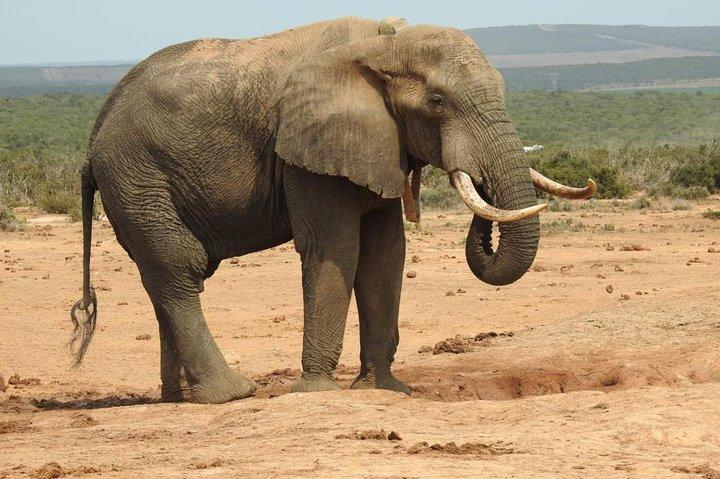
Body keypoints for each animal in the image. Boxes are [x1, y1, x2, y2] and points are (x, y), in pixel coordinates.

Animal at [70, 16, 595, 403]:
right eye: (436, 101)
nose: (479, 188)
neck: (384, 45)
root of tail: (93, 139)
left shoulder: (378, 143)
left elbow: (386, 253)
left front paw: (385, 390)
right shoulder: (308, 148)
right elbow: (337, 247)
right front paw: (318, 391)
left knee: (164, 276)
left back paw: (180, 398)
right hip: (138, 177)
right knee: (179, 267)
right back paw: (231, 394)